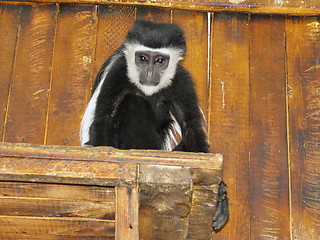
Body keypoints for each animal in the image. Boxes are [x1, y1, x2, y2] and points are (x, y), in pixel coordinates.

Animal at [81, 19, 229, 230]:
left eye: (160, 61)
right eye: (142, 58)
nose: (149, 72)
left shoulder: (181, 80)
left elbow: (190, 125)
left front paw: (218, 198)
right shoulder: (118, 71)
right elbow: (105, 116)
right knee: (133, 101)